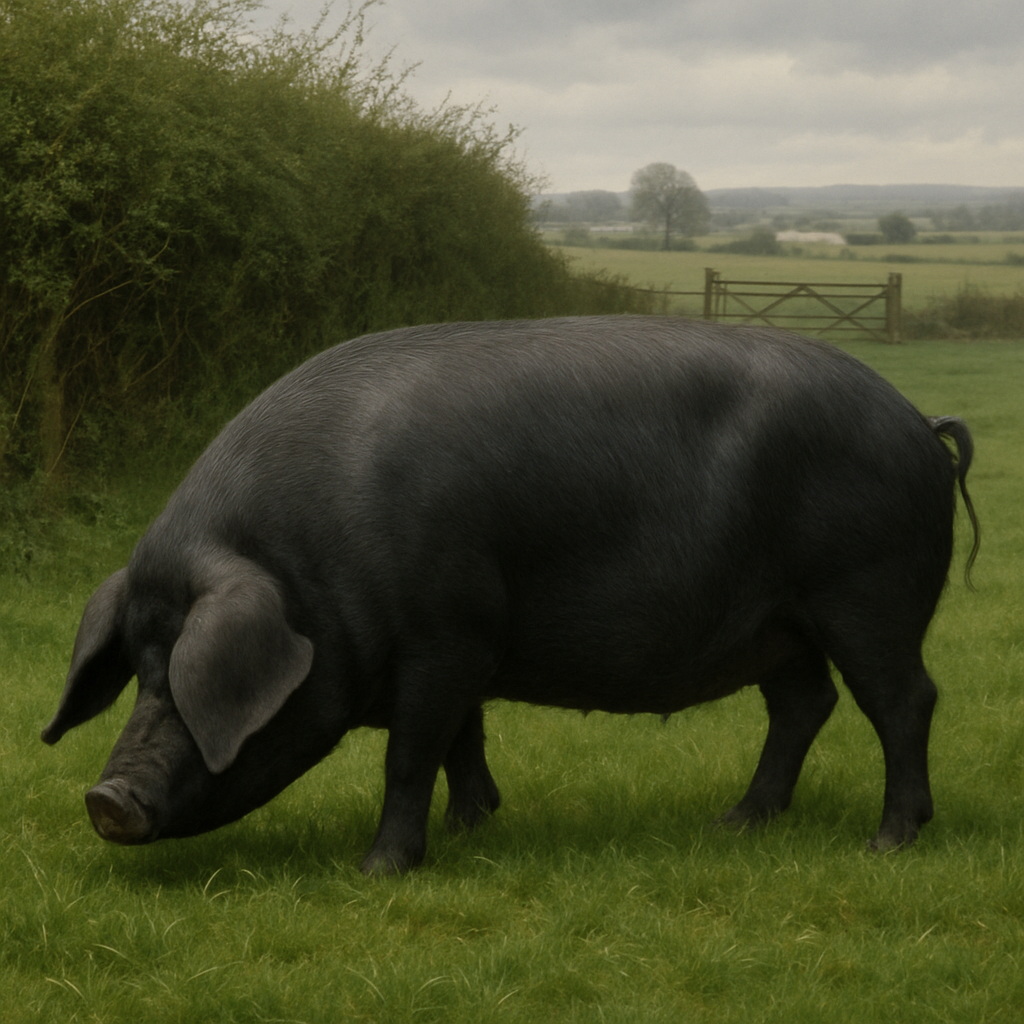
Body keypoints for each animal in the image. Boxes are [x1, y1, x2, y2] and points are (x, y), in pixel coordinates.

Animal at [42, 316, 980, 875]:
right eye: (139, 670)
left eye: (187, 677)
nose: (104, 800)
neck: (308, 560)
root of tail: (920, 423)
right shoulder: (466, 639)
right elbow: (463, 737)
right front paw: (477, 826)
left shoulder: (445, 632)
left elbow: (411, 752)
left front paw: (381, 870)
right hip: (778, 623)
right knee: (804, 704)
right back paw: (738, 824)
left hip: (867, 594)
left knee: (905, 700)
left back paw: (887, 842)